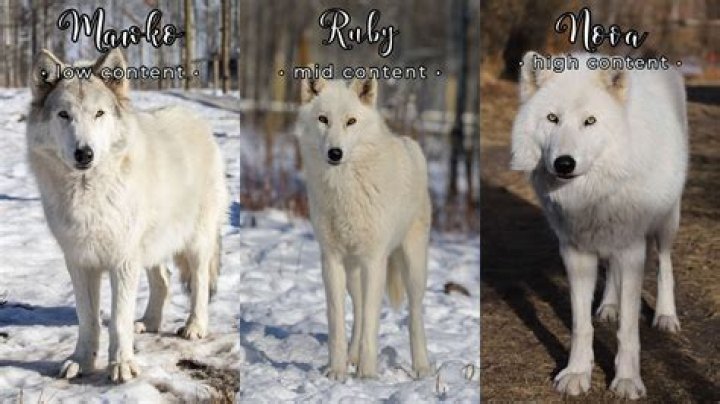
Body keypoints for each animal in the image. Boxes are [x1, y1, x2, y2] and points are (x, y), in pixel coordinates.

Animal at [26, 49, 228, 383]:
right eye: (64, 115)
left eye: (99, 114)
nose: (84, 153)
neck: (88, 195)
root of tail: (194, 117)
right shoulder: (79, 261)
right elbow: (88, 318)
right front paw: (82, 361)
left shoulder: (122, 260)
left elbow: (118, 319)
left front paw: (121, 365)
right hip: (151, 246)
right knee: (164, 280)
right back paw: (149, 322)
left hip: (195, 243)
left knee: (199, 283)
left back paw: (194, 327)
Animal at [297, 77, 432, 380]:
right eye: (323, 119)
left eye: (351, 121)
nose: (335, 153)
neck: (344, 189)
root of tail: (409, 143)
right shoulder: (331, 260)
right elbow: (337, 323)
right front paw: (337, 372)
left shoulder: (374, 260)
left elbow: (373, 322)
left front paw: (368, 375)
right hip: (351, 273)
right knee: (357, 312)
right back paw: (352, 357)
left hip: (413, 266)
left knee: (415, 315)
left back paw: (421, 367)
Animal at [511, 52, 688, 399]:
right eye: (552, 118)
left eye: (590, 121)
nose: (564, 163)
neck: (591, 192)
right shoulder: (576, 252)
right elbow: (581, 325)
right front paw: (577, 373)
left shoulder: (632, 250)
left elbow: (628, 331)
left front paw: (627, 380)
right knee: (611, 272)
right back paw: (608, 306)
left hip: (665, 223)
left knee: (664, 265)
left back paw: (665, 315)